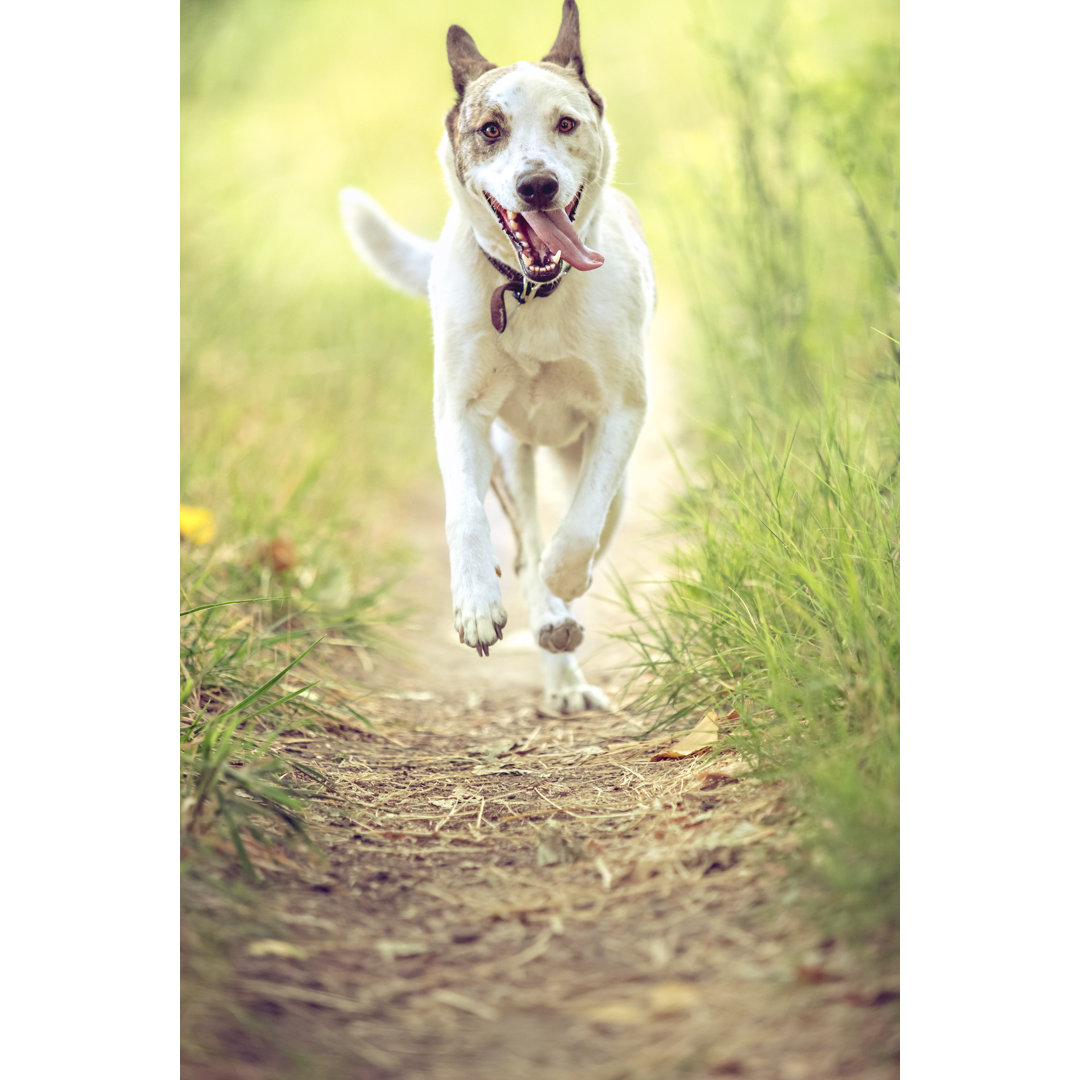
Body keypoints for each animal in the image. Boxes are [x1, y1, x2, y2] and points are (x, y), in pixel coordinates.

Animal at [341, 2, 652, 717]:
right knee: (528, 535)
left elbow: (579, 528)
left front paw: (565, 578)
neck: (531, 290)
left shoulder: (622, 412)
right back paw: (556, 657)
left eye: (566, 123)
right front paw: (478, 605)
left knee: (585, 525)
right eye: (491, 129)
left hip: (609, 473)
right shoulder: (461, 413)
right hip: (513, 457)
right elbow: (465, 513)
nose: (536, 185)